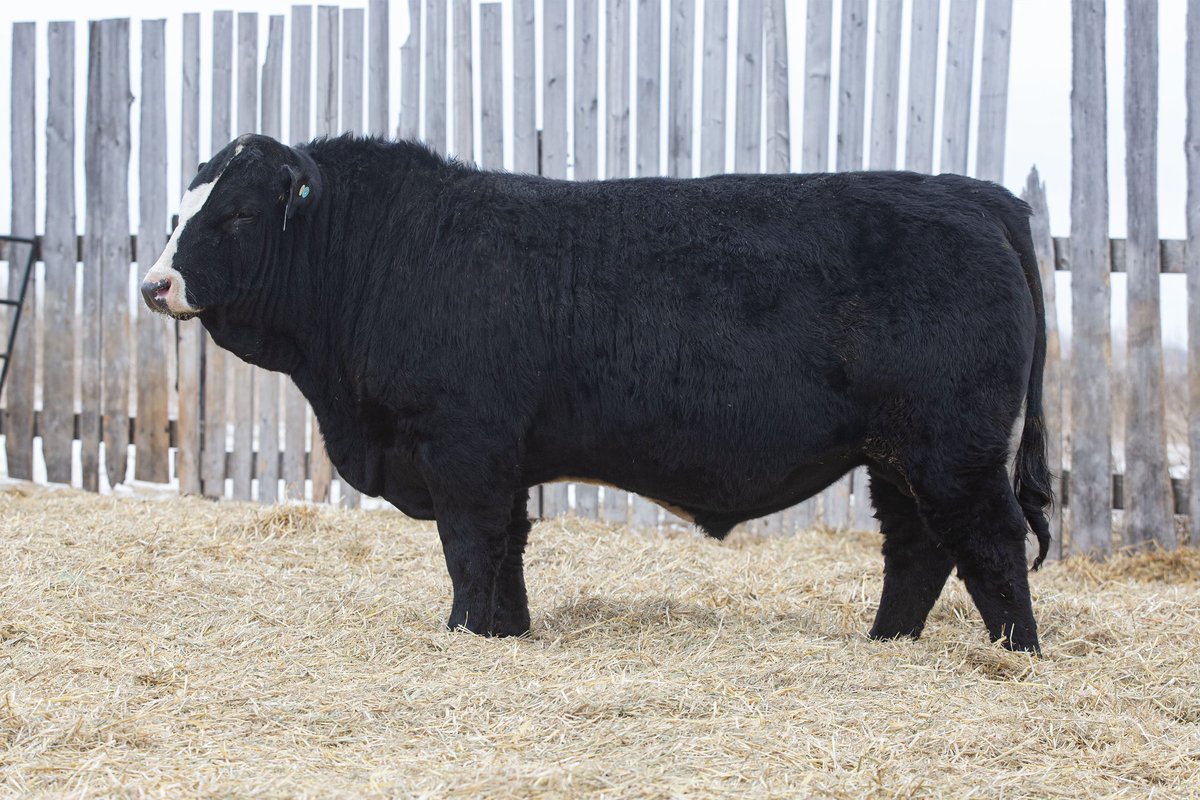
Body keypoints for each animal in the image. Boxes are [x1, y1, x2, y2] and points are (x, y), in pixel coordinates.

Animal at [141, 133, 1053, 653]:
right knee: (919, 549)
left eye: (239, 215)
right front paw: (508, 633)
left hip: (950, 447)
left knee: (990, 541)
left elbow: (470, 547)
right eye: (183, 206)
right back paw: (885, 643)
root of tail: (971, 192)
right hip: (896, 454)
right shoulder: (501, 458)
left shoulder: (462, 446)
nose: (154, 284)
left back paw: (1016, 653)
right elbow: (507, 548)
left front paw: (465, 635)